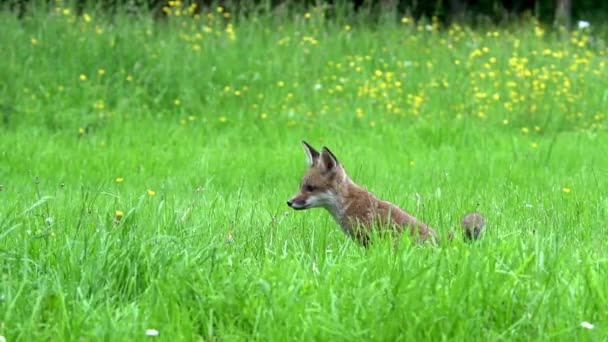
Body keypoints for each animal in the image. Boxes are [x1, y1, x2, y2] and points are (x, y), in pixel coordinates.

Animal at [288, 140, 486, 247]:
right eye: (301, 186)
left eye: (310, 188)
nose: (289, 202)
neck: (347, 204)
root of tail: (443, 241)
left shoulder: (367, 238)